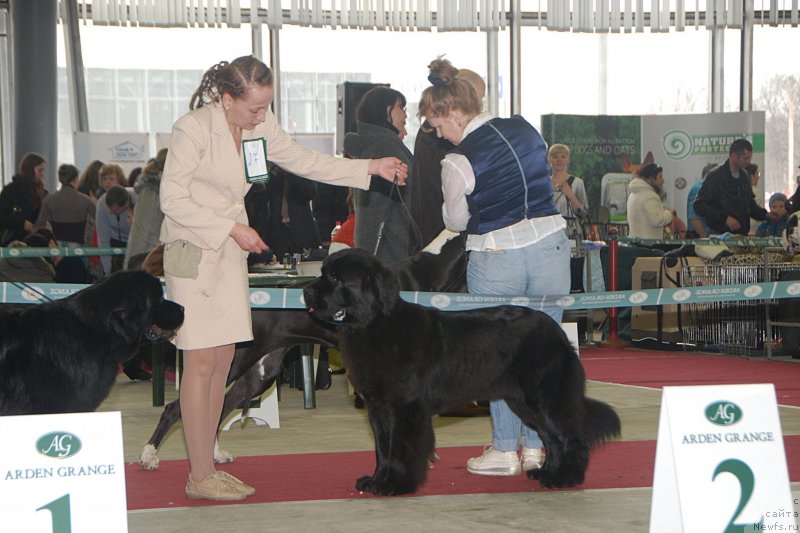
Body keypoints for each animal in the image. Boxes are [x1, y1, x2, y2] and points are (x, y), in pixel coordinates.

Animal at [304, 248, 620, 494]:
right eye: (323, 272)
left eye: (336, 278)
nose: (306, 290)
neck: (375, 324)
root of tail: (558, 331)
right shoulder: (378, 408)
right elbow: (383, 448)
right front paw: (375, 480)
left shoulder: (405, 407)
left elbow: (401, 447)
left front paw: (395, 484)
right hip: (523, 402)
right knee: (550, 437)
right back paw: (547, 472)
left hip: (546, 398)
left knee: (568, 436)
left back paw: (565, 478)